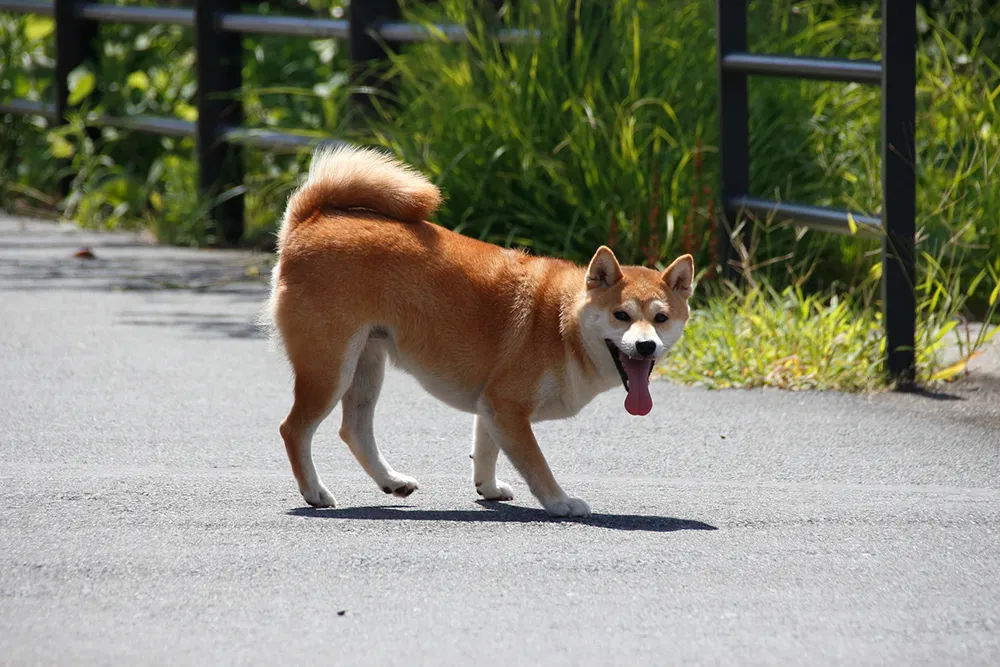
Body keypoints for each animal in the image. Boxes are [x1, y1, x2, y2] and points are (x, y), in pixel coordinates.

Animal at [262, 146, 692, 520]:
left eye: (661, 318)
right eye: (621, 315)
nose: (645, 345)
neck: (562, 325)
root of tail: (307, 223)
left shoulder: (493, 404)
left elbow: (486, 451)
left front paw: (488, 487)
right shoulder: (507, 405)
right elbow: (537, 464)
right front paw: (560, 502)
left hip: (366, 364)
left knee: (354, 430)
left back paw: (392, 481)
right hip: (330, 370)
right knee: (292, 429)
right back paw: (315, 492)